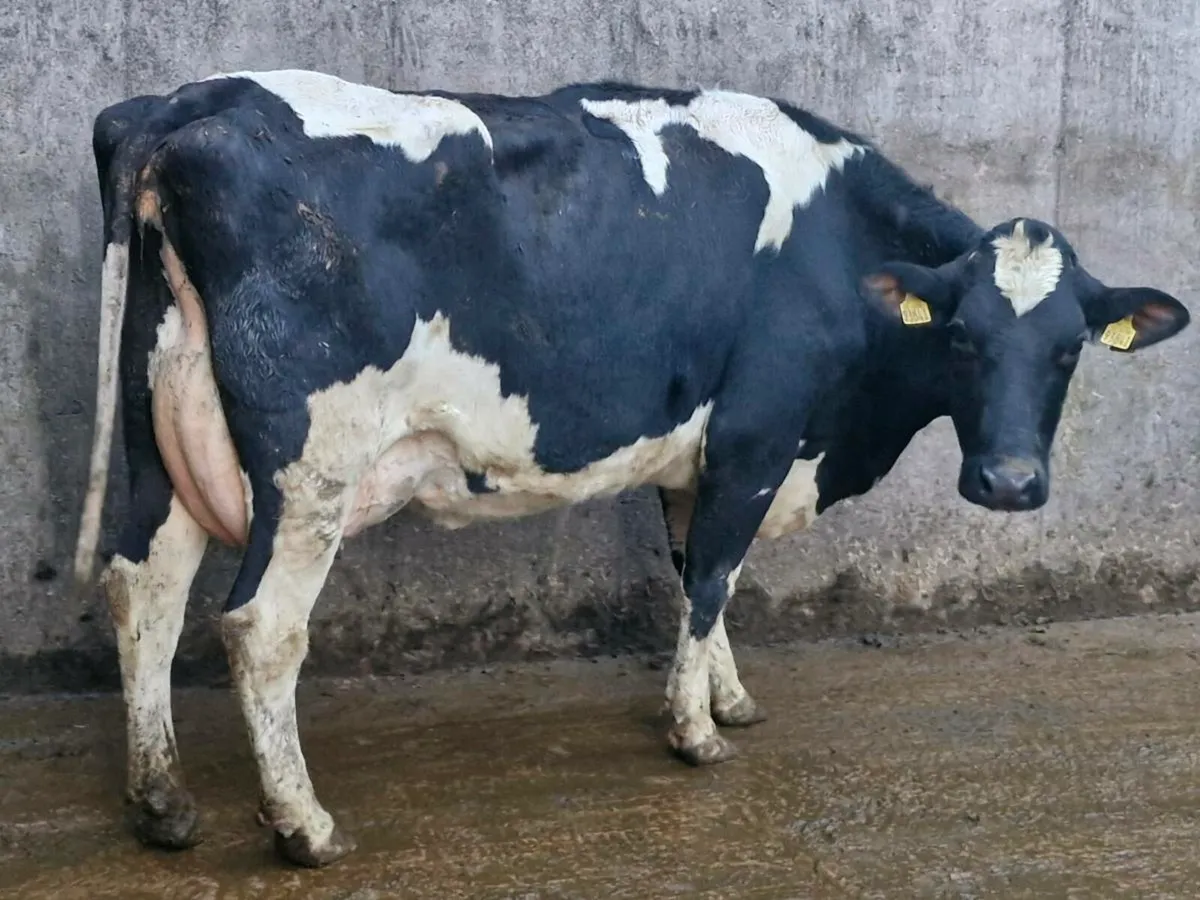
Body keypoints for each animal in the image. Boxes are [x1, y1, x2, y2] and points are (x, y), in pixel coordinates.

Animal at [73, 68, 1189, 868]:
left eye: (1067, 349)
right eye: (961, 338)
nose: (1009, 483)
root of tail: (183, 106)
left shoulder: (696, 456)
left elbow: (698, 572)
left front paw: (727, 697)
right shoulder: (755, 434)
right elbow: (714, 580)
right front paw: (695, 732)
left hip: (156, 432)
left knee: (144, 586)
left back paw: (161, 801)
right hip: (312, 463)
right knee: (260, 626)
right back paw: (304, 825)